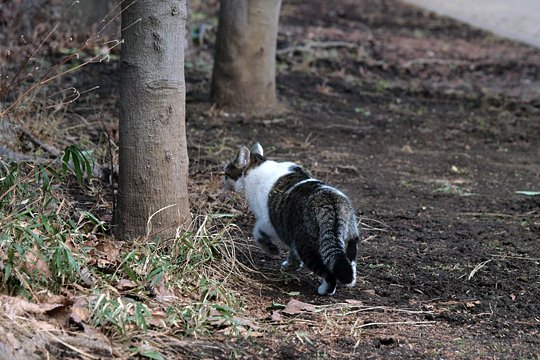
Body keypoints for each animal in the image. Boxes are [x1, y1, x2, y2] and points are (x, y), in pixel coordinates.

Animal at [224, 143, 358, 296]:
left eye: (226, 173)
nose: (223, 181)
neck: (257, 166)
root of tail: (330, 202)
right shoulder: (287, 230)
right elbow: (291, 251)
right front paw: (291, 265)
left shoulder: (267, 222)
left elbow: (257, 233)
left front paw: (272, 250)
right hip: (350, 235)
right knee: (348, 259)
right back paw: (351, 279)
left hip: (305, 245)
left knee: (327, 271)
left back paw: (326, 289)